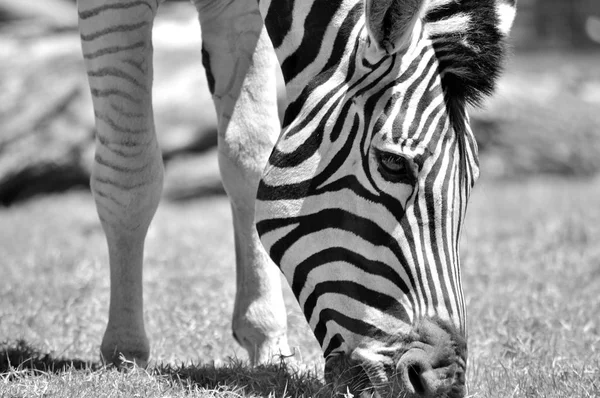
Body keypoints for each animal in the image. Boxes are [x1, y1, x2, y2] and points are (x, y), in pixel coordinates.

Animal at [76, 0, 516, 394]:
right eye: (393, 162)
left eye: (472, 180)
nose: (442, 385)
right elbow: (130, 174)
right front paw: (125, 352)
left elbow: (247, 152)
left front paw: (266, 339)